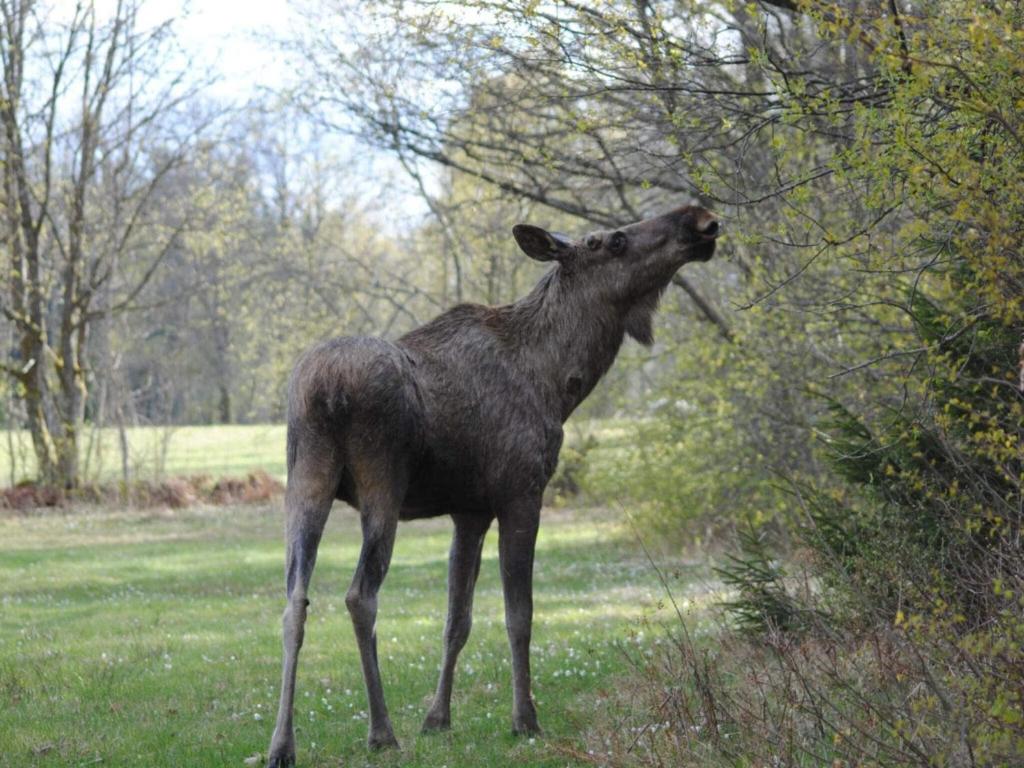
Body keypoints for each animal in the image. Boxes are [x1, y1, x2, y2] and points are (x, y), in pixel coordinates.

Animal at [268, 202, 724, 765]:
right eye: (612, 240)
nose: (698, 218)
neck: (560, 383)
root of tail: (326, 390)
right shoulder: (521, 493)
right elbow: (518, 616)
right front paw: (524, 719)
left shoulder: (470, 511)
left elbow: (456, 620)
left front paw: (437, 719)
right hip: (382, 486)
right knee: (359, 596)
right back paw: (381, 730)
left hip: (304, 480)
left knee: (294, 601)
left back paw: (281, 744)